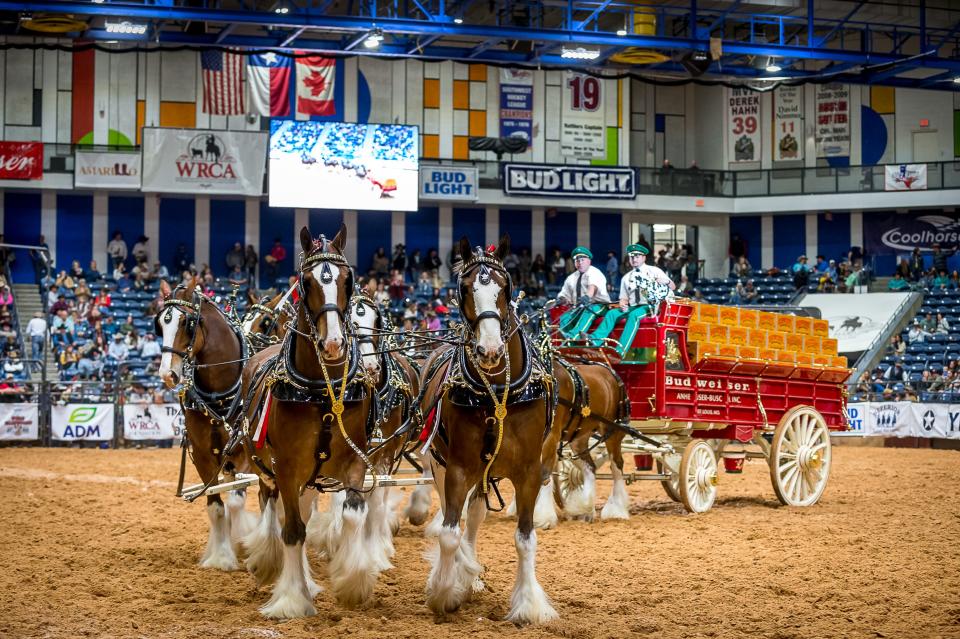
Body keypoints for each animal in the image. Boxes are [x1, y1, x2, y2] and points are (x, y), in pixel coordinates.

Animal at [416, 236, 560, 624]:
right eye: (465, 288)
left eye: (505, 287)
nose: (491, 350)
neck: (496, 390)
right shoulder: (458, 468)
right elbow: (449, 534)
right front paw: (444, 592)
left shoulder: (528, 471)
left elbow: (525, 538)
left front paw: (528, 603)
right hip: (441, 465)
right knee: (457, 518)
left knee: (477, 513)